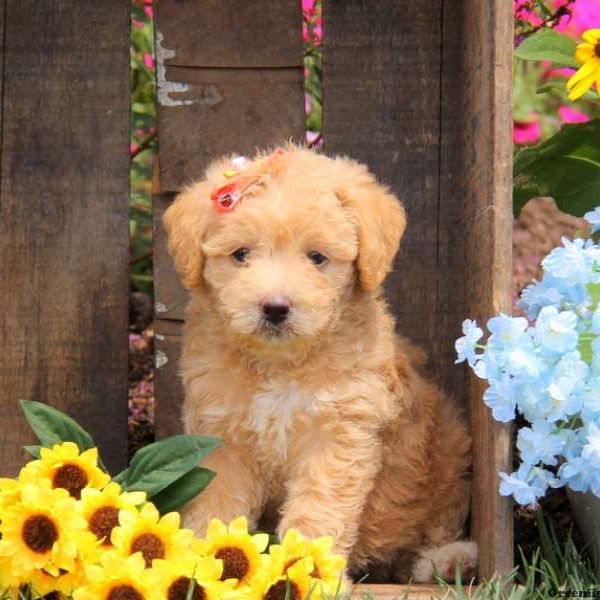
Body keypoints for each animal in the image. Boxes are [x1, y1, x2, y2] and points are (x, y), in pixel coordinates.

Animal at [162, 144, 476, 580]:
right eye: (241, 254)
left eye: (316, 257)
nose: (275, 308)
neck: (280, 364)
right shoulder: (222, 433)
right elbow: (217, 504)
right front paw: (209, 567)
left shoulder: (337, 432)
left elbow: (319, 509)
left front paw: (308, 574)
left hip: (447, 453)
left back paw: (448, 560)